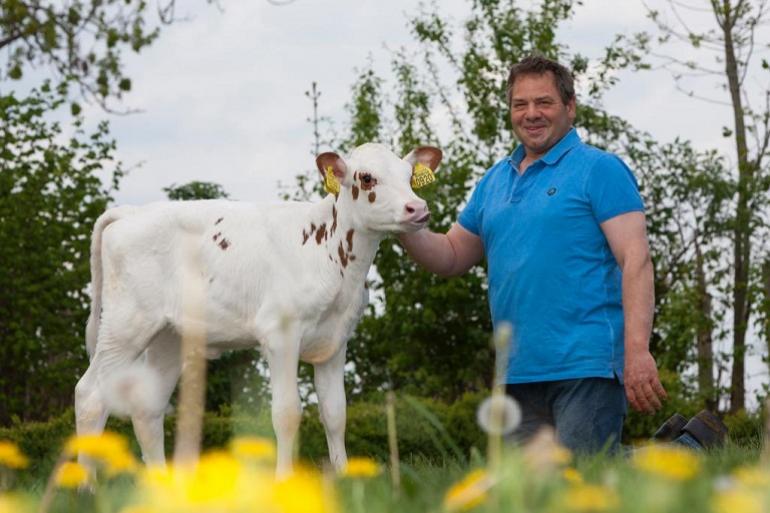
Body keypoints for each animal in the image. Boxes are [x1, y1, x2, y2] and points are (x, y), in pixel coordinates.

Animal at [76, 142, 444, 474]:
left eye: (408, 175)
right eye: (367, 177)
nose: (417, 208)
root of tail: (131, 212)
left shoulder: (335, 341)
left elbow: (335, 412)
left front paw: (343, 477)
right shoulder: (280, 332)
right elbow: (287, 413)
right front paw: (284, 480)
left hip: (169, 336)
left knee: (147, 409)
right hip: (125, 325)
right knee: (90, 395)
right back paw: (85, 487)